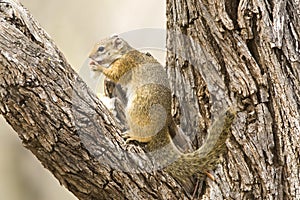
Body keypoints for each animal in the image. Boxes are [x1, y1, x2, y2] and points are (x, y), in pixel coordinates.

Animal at [89, 35, 237, 191]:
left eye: (101, 48)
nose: (90, 56)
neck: (123, 52)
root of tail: (163, 127)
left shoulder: (126, 63)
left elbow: (114, 74)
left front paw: (97, 66)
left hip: (137, 108)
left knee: (147, 136)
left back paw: (136, 136)